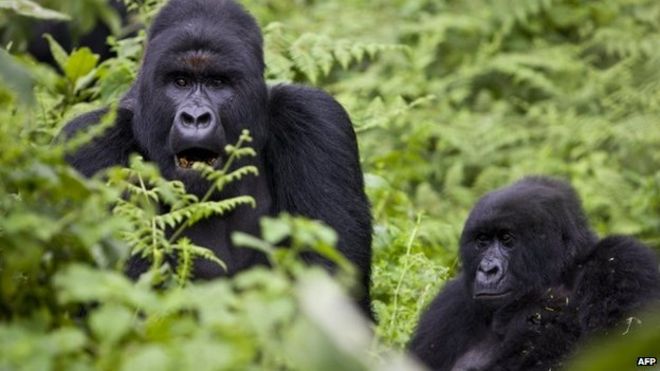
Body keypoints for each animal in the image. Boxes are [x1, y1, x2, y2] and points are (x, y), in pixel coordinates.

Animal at [408, 177, 660, 371]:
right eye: (482, 241)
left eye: (507, 239)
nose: (487, 269)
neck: (564, 271)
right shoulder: (449, 304)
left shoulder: (624, 260)